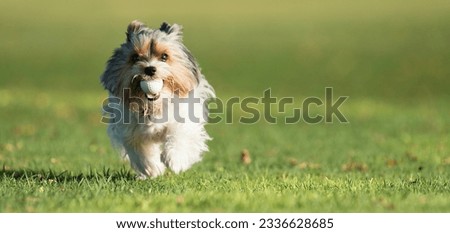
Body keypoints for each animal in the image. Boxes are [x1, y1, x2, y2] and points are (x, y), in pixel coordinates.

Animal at [100, 20, 216, 179]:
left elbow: (179, 135)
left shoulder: (185, 119)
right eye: (135, 57)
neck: (154, 105)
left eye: (164, 56)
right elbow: (139, 149)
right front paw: (152, 169)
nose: (150, 69)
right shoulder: (129, 129)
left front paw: (175, 161)